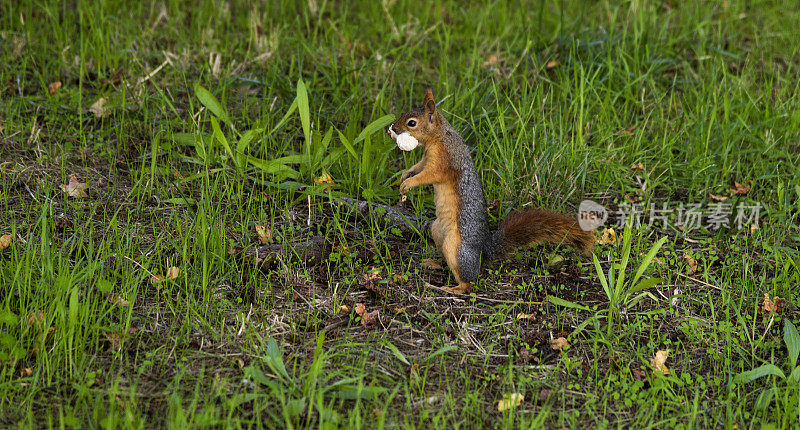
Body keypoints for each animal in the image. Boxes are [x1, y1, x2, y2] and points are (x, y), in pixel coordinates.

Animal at [388, 89, 592, 294]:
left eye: (411, 122)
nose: (393, 129)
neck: (439, 136)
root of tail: (484, 253)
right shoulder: (427, 158)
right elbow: (418, 167)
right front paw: (405, 175)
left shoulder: (444, 161)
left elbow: (429, 175)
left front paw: (409, 183)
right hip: (437, 231)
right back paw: (434, 263)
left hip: (456, 247)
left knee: (469, 282)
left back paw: (452, 289)